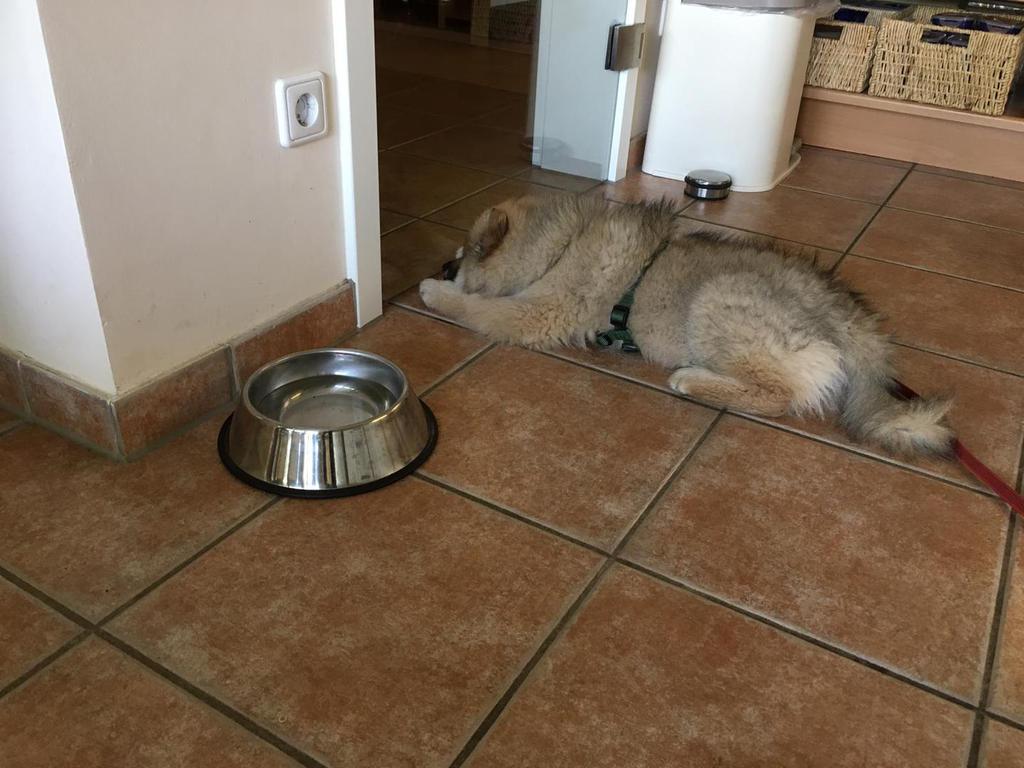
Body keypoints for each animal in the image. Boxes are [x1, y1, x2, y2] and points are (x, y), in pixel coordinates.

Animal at [419, 194, 953, 457]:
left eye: (466, 253)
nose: (442, 266)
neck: (562, 243)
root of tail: (850, 316)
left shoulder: (535, 310)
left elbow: (476, 309)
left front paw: (434, 292)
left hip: (718, 301)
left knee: (776, 396)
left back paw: (694, 380)